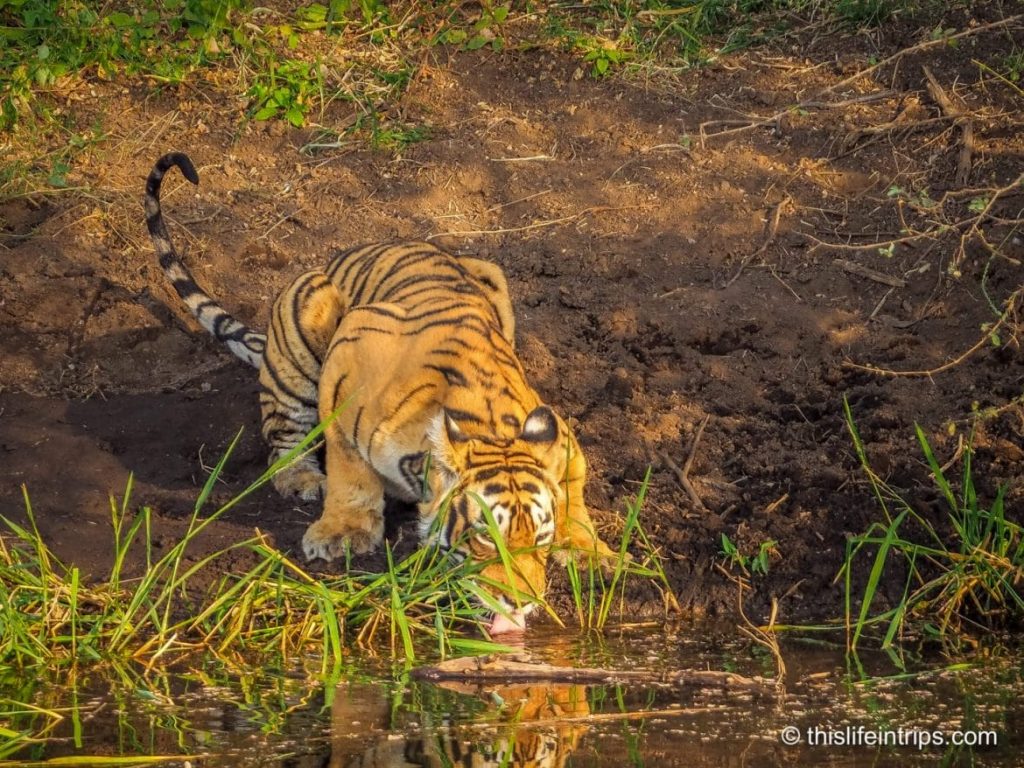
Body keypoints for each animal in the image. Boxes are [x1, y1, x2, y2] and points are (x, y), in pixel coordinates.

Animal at [145, 151, 617, 632]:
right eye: (486, 538)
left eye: (539, 537)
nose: (521, 604)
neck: (486, 424)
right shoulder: (348, 363)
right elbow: (349, 468)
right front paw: (343, 532)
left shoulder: (560, 436)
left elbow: (574, 489)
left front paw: (586, 548)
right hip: (307, 316)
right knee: (282, 441)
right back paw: (303, 480)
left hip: (490, 273)